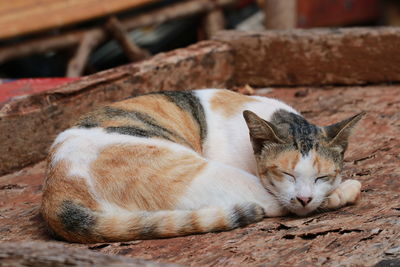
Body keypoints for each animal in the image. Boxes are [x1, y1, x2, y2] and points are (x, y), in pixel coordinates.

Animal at [39, 89, 362, 244]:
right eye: (286, 173)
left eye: (322, 176)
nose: (305, 197)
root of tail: (56, 199)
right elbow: (285, 202)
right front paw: (338, 190)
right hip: (207, 174)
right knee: (272, 205)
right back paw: (345, 191)